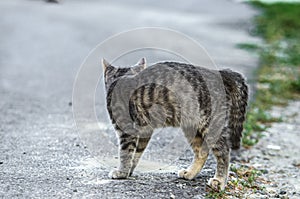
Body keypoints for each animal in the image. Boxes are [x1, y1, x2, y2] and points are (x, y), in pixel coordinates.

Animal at [102, 57, 247, 191]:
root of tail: (220, 73)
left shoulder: (126, 130)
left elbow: (125, 153)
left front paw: (121, 172)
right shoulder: (145, 130)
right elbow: (136, 153)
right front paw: (129, 171)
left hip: (211, 126)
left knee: (224, 153)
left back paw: (220, 180)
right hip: (192, 128)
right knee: (202, 152)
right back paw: (190, 173)